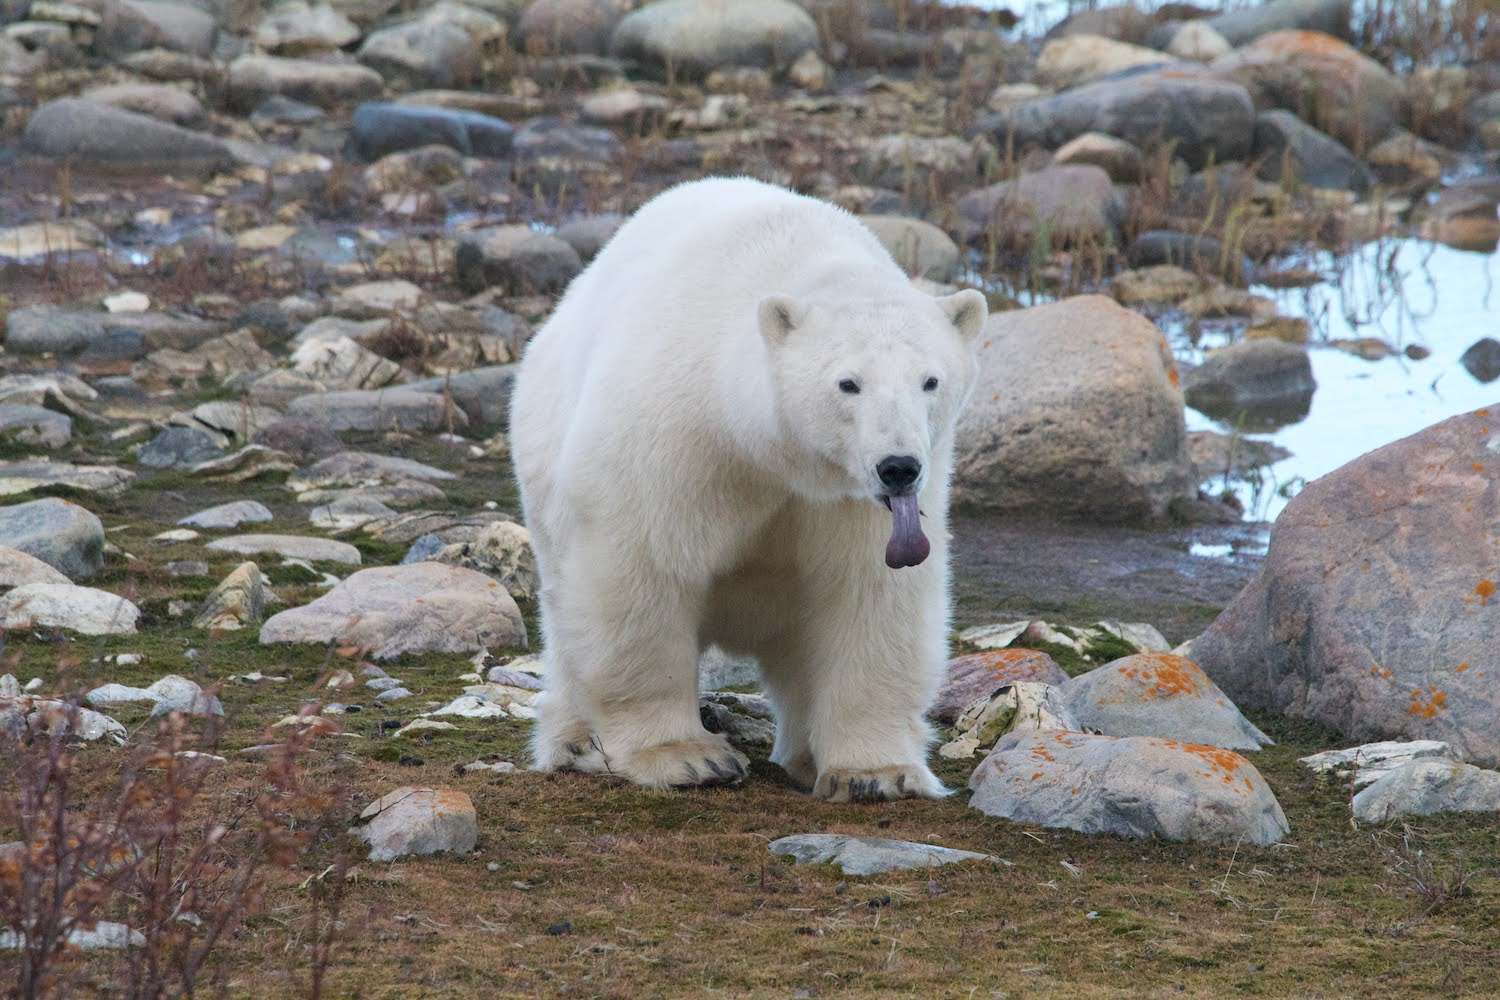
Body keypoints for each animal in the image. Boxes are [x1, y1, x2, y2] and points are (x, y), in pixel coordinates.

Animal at [510, 176, 990, 803]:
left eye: (930, 380)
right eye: (848, 383)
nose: (899, 467)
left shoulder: (848, 501)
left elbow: (869, 594)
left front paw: (874, 773)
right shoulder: (675, 437)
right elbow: (641, 569)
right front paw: (685, 757)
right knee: (568, 615)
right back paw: (575, 744)